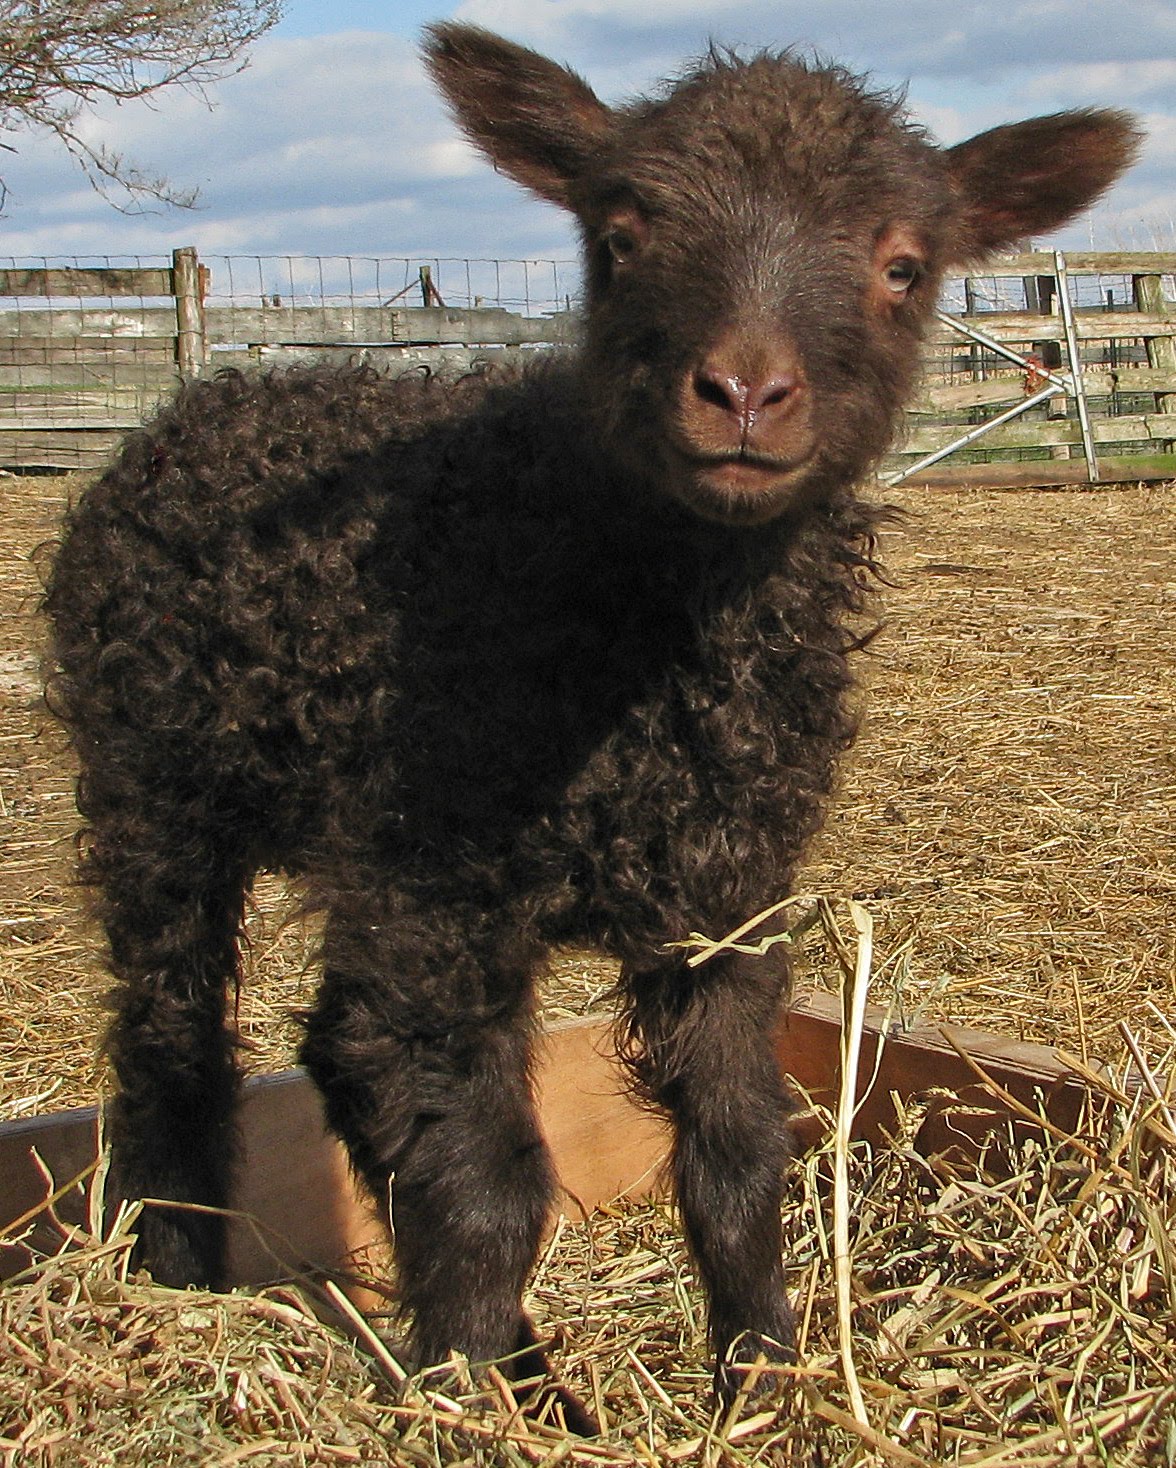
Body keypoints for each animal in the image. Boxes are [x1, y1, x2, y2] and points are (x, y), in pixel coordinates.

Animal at [45, 21, 1137, 1426]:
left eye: (903, 264)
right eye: (621, 234)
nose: (743, 391)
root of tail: (193, 408)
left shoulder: (722, 888)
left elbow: (734, 1154)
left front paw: (761, 1377)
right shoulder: (438, 873)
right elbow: (490, 1186)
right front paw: (477, 1406)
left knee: (339, 1039)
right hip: (157, 789)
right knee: (171, 1036)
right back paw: (183, 1276)